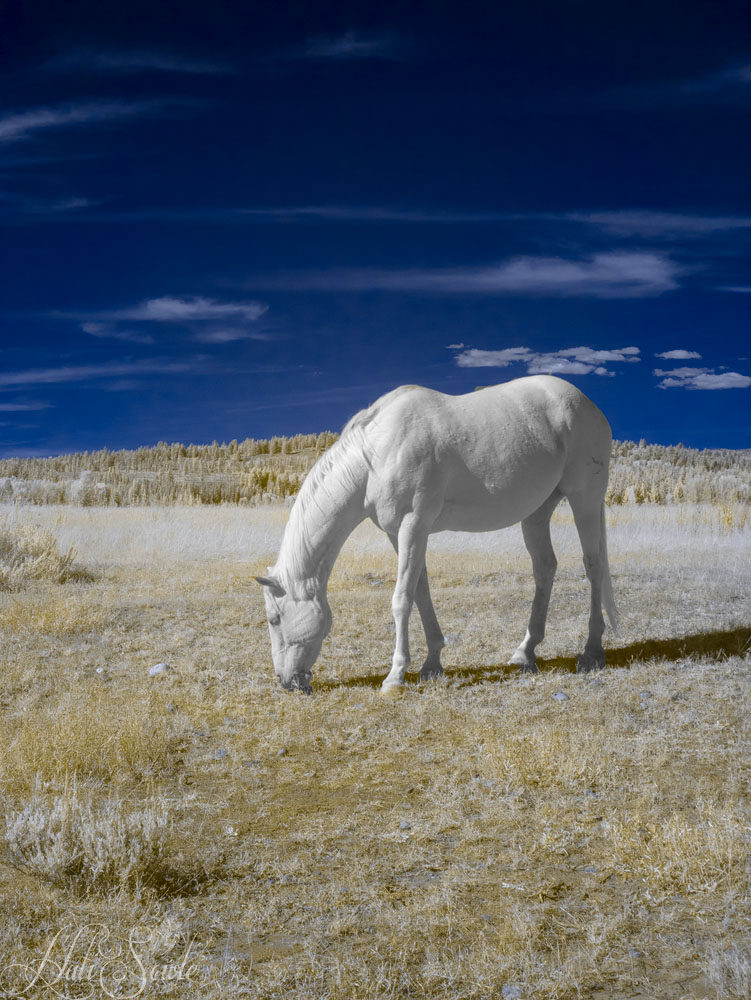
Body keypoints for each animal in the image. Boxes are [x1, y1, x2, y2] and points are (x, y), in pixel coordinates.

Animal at [256, 374, 618, 692]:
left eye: (274, 619)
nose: (286, 681)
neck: (374, 456)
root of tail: (589, 405)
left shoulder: (414, 524)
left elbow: (401, 599)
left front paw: (395, 677)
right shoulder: (399, 533)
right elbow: (420, 590)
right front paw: (432, 664)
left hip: (584, 500)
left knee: (594, 565)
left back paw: (591, 652)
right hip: (537, 512)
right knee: (545, 568)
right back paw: (525, 654)